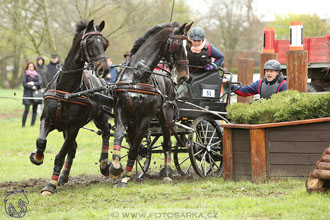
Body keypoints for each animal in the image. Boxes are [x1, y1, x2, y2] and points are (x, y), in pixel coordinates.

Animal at [29, 20, 111, 194]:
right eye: (90, 42)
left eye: (104, 43)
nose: (105, 69)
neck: (66, 90)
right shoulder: (48, 119)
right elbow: (41, 141)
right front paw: (37, 157)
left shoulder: (73, 127)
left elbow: (60, 155)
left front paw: (50, 185)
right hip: (65, 128)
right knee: (73, 148)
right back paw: (63, 176)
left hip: (100, 118)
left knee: (106, 132)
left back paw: (104, 164)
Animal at [108, 21, 192, 187]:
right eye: (177, 45)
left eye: (189, 46)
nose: (184, 77)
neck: (137, 76)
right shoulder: (121, 111)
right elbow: (121, 136)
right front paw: (116, 169)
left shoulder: (145, 117)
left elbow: (135, 146)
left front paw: (125, 176)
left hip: (166, 117)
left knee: (167, 143)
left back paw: (167, 172)